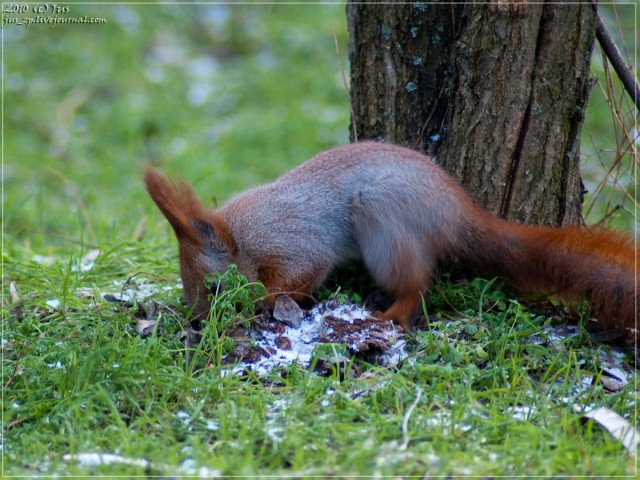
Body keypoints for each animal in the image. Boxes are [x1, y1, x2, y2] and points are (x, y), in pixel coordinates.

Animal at [142, 141, 636, 340]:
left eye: (215, 288)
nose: (199, 324)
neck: (240, 238)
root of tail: (457, 211)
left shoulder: (291, 241)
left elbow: (301, 275)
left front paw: (268, 301)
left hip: (380, 214)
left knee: (417, 283)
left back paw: (394, 313)